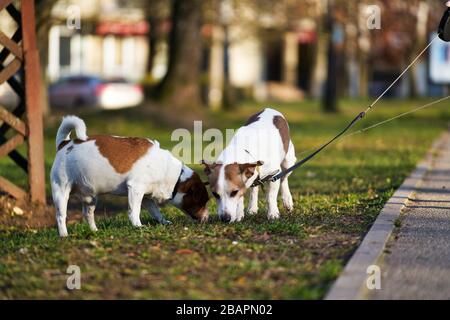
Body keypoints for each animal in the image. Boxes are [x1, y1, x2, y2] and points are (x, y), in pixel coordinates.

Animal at [50, 115, 209, 235]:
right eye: (203, 201)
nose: (207, 218)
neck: (175, 176)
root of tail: (64, 144)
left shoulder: (147, 197)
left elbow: (156, 212)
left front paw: (163, 221)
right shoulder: (136, 189)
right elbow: (134, 211)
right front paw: (137, 226)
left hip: (90, 198)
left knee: (88, 215)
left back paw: (94, 231)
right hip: (61, 192)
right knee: (60, 216)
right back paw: (64, 235)